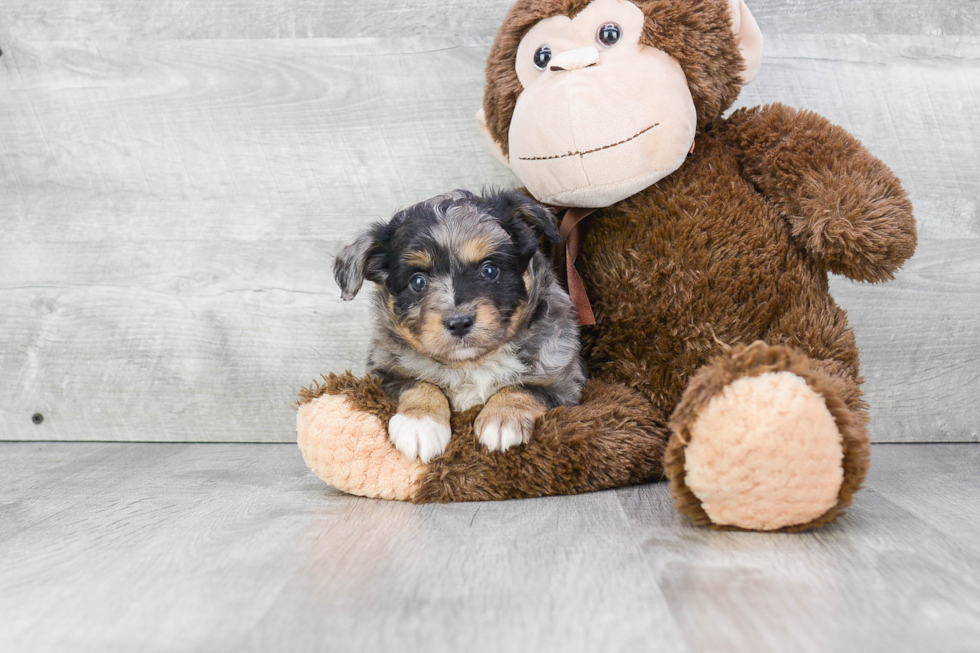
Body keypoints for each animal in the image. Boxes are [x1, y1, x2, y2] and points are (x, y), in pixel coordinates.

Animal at [334, 188, 584, 464]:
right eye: (418, 281)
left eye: (489, 270)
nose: (459, 323)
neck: (470, 364)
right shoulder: (382, 373)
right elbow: (419, 383)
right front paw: (420, 424)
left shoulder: (564, 382)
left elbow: (524, 388)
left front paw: (502, 419)